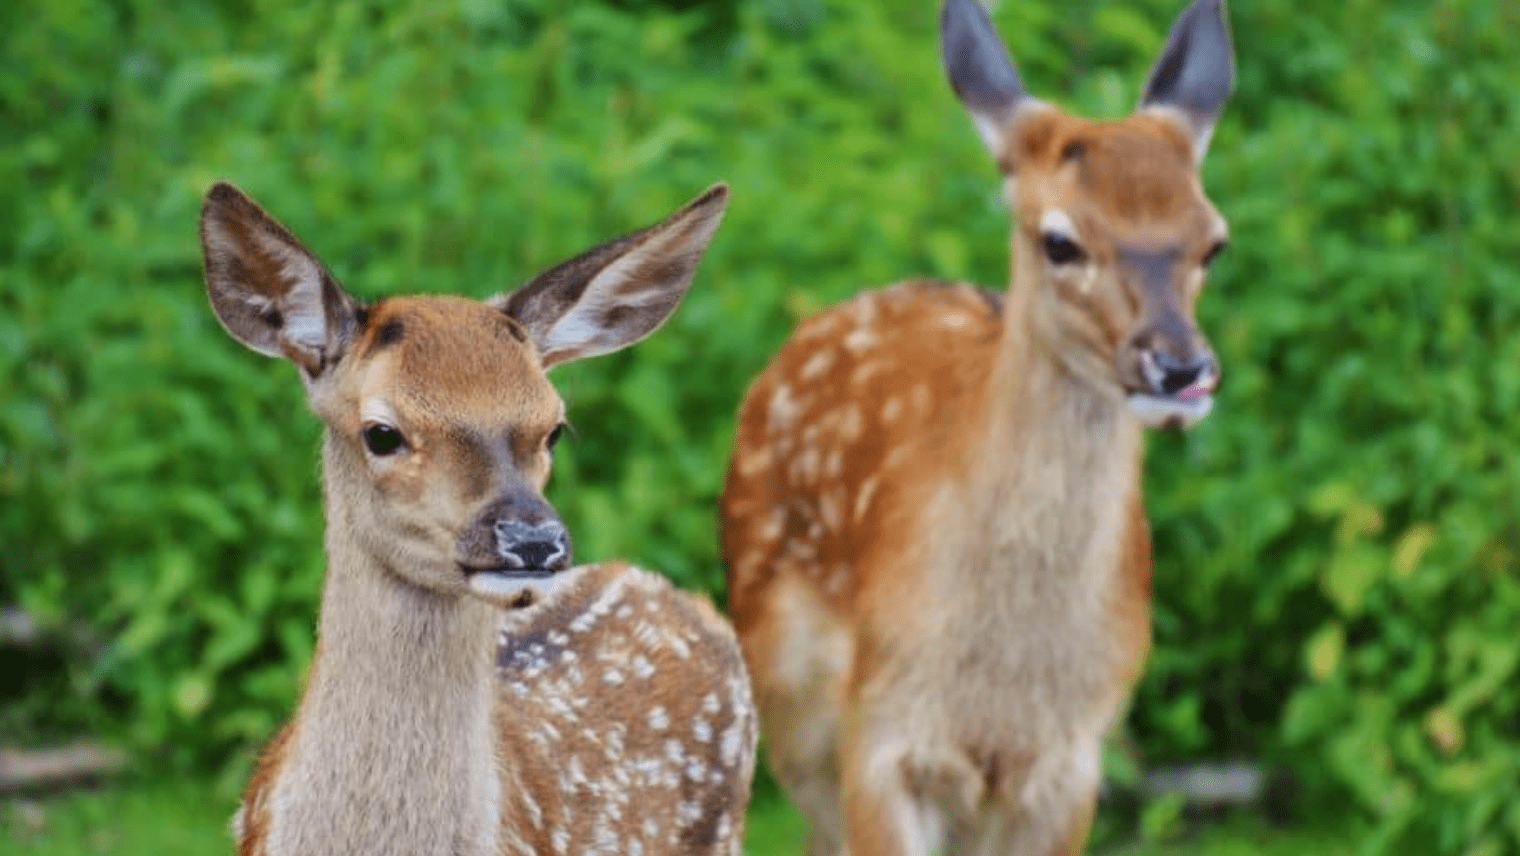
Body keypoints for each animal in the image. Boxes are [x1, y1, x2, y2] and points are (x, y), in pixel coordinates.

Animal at [719, 0, 1234, 853]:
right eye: (1060, 240)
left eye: (1213, 241)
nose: (1180, 368)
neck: (1001, 690)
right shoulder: (882, 732)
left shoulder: (1071, 762)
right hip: (789, 696)